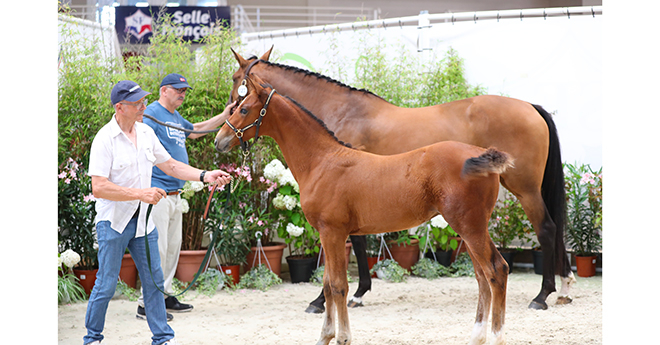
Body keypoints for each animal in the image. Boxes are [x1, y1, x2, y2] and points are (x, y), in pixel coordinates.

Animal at [214, 75, 512, 344]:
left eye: (243, 109)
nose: (219, 140)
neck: (322, 160)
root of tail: (480, 154)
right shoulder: (328, 234)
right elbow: (327, 285)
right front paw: (325, 336)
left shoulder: (333, 232)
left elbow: (338, 286)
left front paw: (342, 337)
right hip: (468, 228)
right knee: (482, 277)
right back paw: (476, 337)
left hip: (470, 226)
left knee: (496, 270)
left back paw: (496, 337)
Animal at [227, 47, 572, 310]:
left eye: (236, 83)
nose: (223, 123)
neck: (341, 110)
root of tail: (530, 107)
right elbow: (359, 241)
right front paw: (358, 292)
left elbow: (350, 247)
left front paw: (328, 299)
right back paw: (564, 288)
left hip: (525, 189)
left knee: (546, 229)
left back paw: (543, 295)